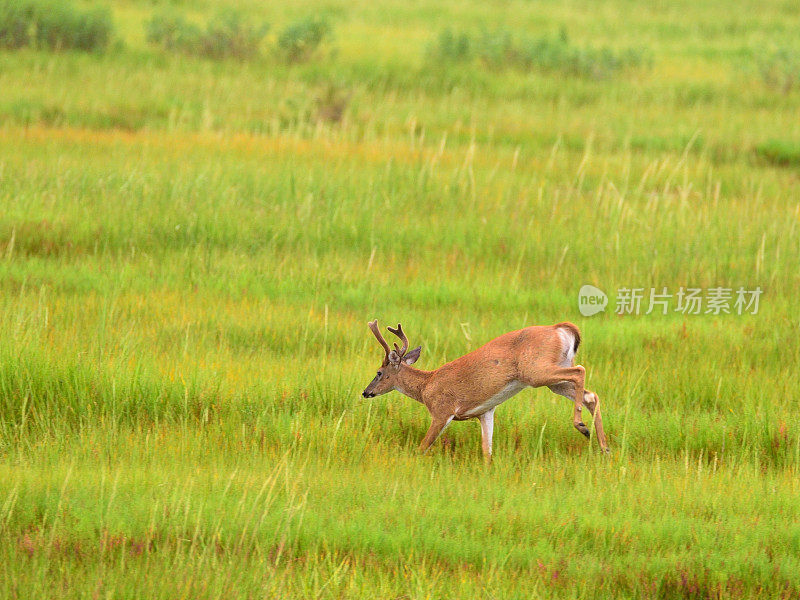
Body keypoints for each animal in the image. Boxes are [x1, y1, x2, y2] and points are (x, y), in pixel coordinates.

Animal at [360, 322, 608, 462]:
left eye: (379, 372)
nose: (365, 392)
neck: (426, 386)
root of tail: (561, 328)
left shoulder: (442, 410)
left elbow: (422, 446)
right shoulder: (485, 412)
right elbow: (486, 451)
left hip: (536, 371)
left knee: (580, 371)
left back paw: (582, 427)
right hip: (552, 377)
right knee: (591, 395)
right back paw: (604, 448)